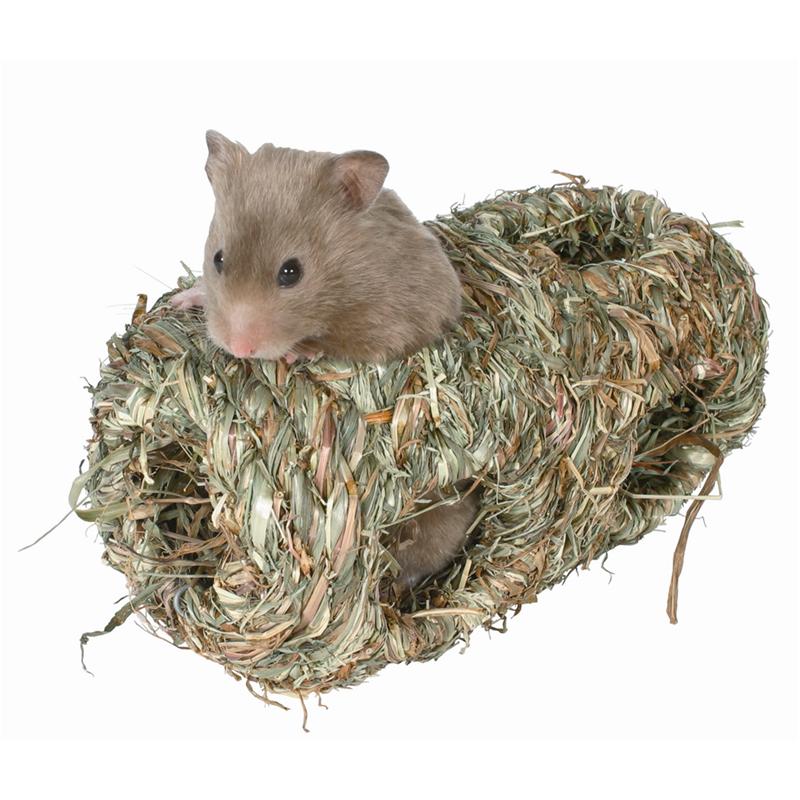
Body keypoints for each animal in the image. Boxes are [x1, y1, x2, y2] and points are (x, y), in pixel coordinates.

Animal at [172, 131, 478, 589]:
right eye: (218, 259)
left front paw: (300, 350)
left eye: (291, 272)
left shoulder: (394, 321)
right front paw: (184, 298)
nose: (239, 347)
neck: (341, 279)